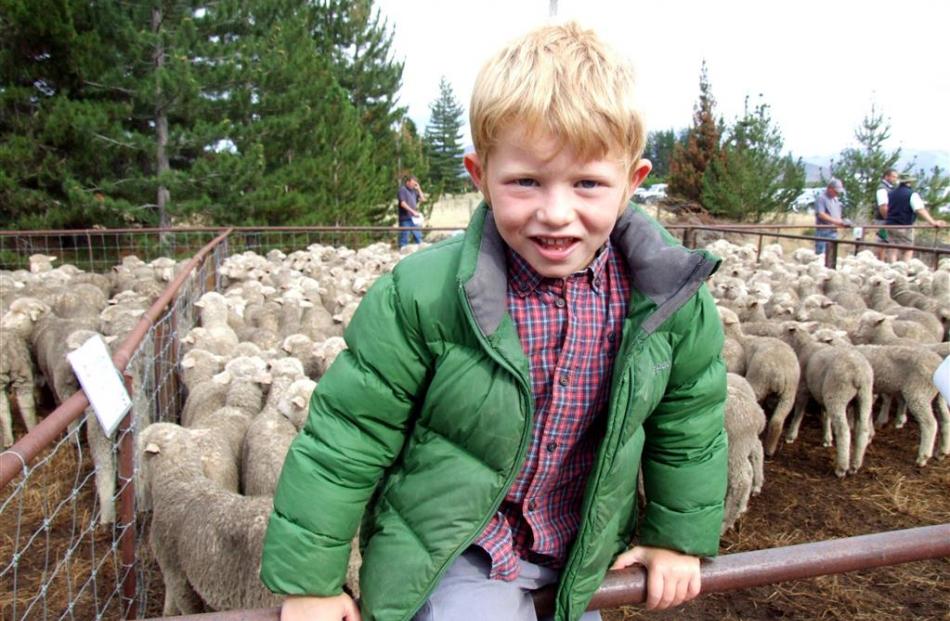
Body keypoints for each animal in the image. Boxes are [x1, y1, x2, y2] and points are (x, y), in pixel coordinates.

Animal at [724, 372, 768, 532]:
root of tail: (759, 416)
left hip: (735, 447)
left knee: (741, 481)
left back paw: (725, 523)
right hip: (743, 446)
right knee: (752, 463)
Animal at [780, 322, 876, 478]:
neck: (804, 346)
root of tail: (857, 373)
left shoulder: (803, 388)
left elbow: (799, 413)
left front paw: (790, 436)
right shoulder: (823, 394)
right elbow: (825, 416)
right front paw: (827, 439)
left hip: (838, 395)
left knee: (843, 430)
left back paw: (841, 468)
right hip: (864, 396)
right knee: (863, 428)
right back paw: (855, 465)